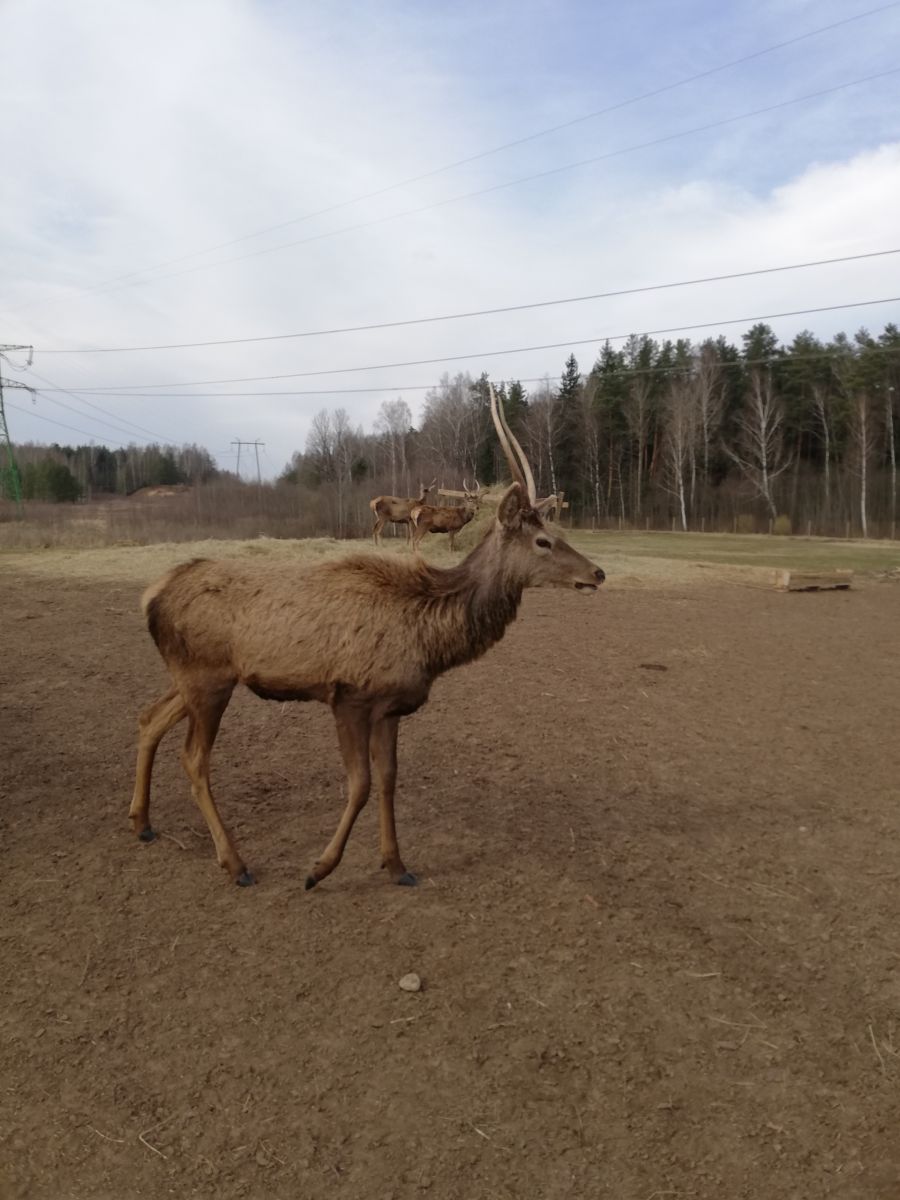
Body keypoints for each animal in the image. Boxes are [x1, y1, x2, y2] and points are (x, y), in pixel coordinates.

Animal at [128, 386, 607, 892]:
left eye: (555, 531)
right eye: (542, 542)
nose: (597, 573)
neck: (429, 638)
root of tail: (151, 595)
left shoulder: (390, 706)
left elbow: (389, 779)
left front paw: (397, 865)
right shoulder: (349, 696)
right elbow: (359, 784)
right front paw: (320, 868)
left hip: (193, 677)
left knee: (149, 718)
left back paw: (141, 822)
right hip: (207, 678)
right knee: (194, 758)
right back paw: (235, 863)